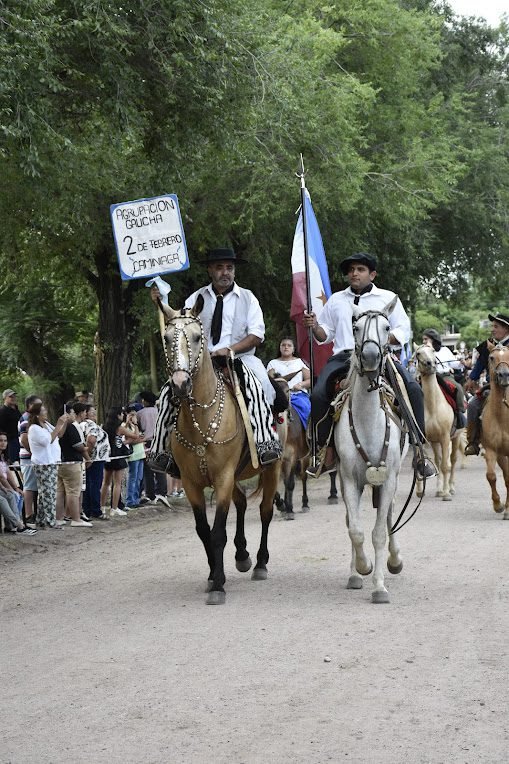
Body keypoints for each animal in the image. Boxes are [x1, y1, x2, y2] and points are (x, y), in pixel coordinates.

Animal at [159, 296, 281, 604]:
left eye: (196, 336)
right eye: (166, 337)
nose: (180, 384)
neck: (201, 420)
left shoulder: (223, 477)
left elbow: (217, 533)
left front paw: (218, 585)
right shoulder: (191, 483)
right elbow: (204, 531)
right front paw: (214, 574)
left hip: (272, 468)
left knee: (265, 511)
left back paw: (260, 563)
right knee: (242, 503)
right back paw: (242, 555)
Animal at [414, 343, 464, 500]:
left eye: (432, 351)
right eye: (418, 353)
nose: (430, 364)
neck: (433, 407)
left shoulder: (445, 437)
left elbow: (445, 466)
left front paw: (446, 494)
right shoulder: (422, 438)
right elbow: (421, 462)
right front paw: (420, 491)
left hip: (455, 438)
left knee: (452, 461)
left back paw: (450, 488)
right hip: (435, 442)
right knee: (438, 459)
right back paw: (439, 489)